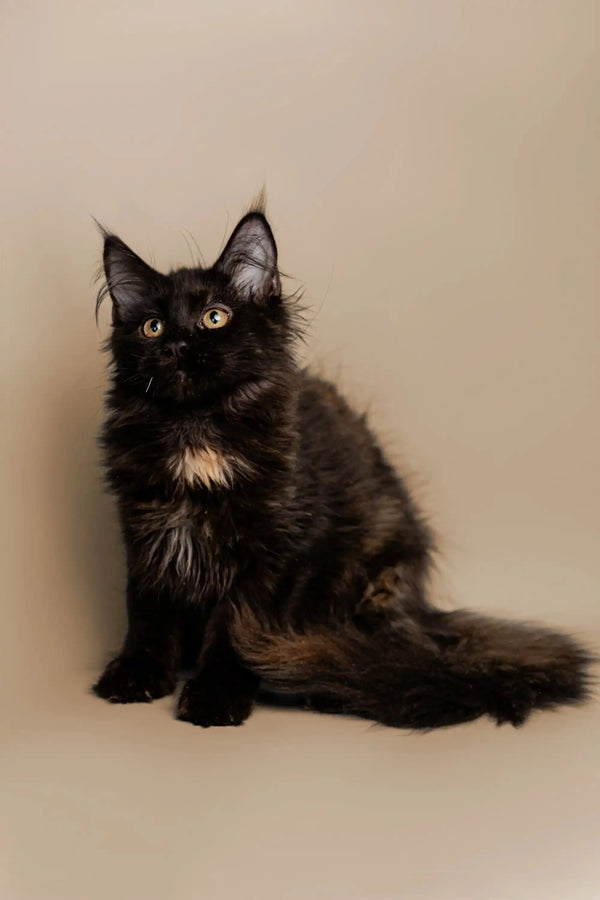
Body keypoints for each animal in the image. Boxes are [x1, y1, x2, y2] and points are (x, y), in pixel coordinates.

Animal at [92, 200, 592, 728]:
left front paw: (214, 695)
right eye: (152, 327)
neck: (197, 431)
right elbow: (148, 613)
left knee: (392, 658)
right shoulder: (147, 531)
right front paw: (137, 674)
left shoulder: (273, 552)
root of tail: (424, 611)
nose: (176, 347)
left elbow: (231, 631)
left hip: (372, 581)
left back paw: (329, 687)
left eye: (215, 317)